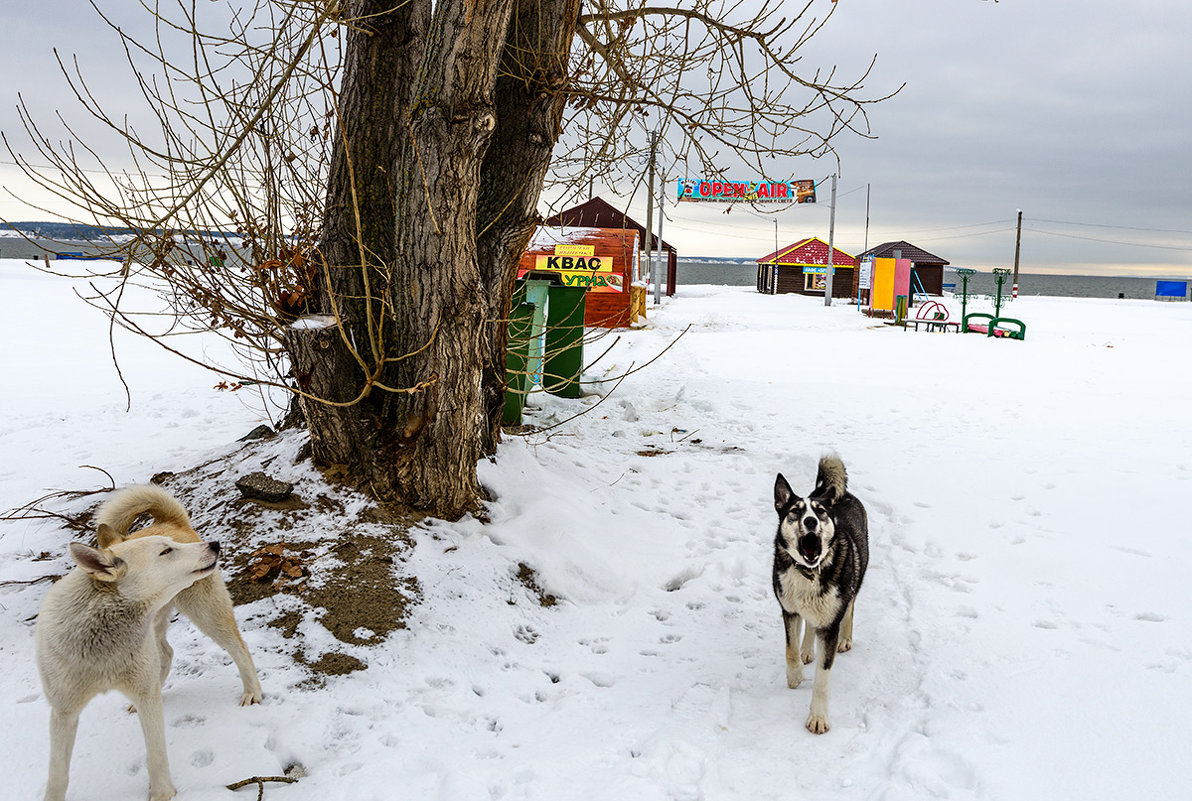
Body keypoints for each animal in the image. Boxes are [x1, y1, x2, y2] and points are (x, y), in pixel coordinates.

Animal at [36, 483, 261, 796]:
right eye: (166, 551)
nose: (214, 545)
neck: (103, 642)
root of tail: (172, 521)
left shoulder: (146, 699)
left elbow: (155, 754)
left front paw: (162, 794)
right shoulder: (63, 712)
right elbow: (58, 775)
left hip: (206, 614)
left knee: (239, 648)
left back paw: (252, 691)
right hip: (157, 633)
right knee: (166, 654)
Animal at [772, 452, 867, 734]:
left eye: (820, 512)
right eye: (795, 511)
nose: (811, 521)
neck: (810, 572)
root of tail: (839, 494)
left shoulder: (830, 623)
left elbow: (823, 679)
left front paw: (818, 718)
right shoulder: (788, 609)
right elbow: (790, 649)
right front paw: (794, 676)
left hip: (853, 582)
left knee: (850, 607)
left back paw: (846, 638)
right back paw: (806, 650)